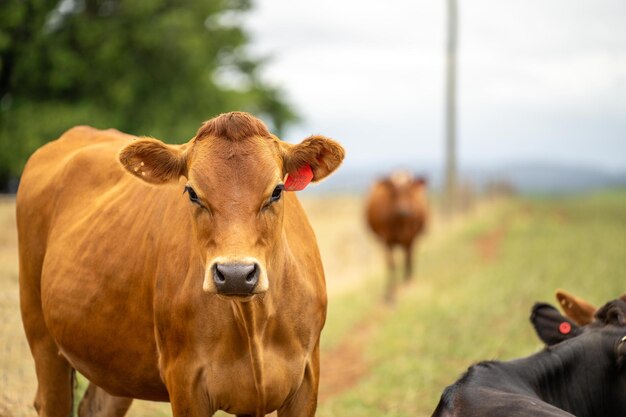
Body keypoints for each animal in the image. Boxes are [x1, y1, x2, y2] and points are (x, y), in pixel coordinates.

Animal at [17, 111, 344, 416]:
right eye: (192, 192)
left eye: (277, 190)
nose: (235, 274)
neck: (254, 322)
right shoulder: (185, 382)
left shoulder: (305, 383)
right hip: (42, 338)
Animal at [364, 171, 426, 300]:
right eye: (393, 192)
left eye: (409, 191)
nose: (403, 211)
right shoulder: (386, 240)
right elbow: (391, 265)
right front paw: (390, 294)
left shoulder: (410, 238)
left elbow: (407, 261)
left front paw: (407, 285)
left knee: (409, 259)